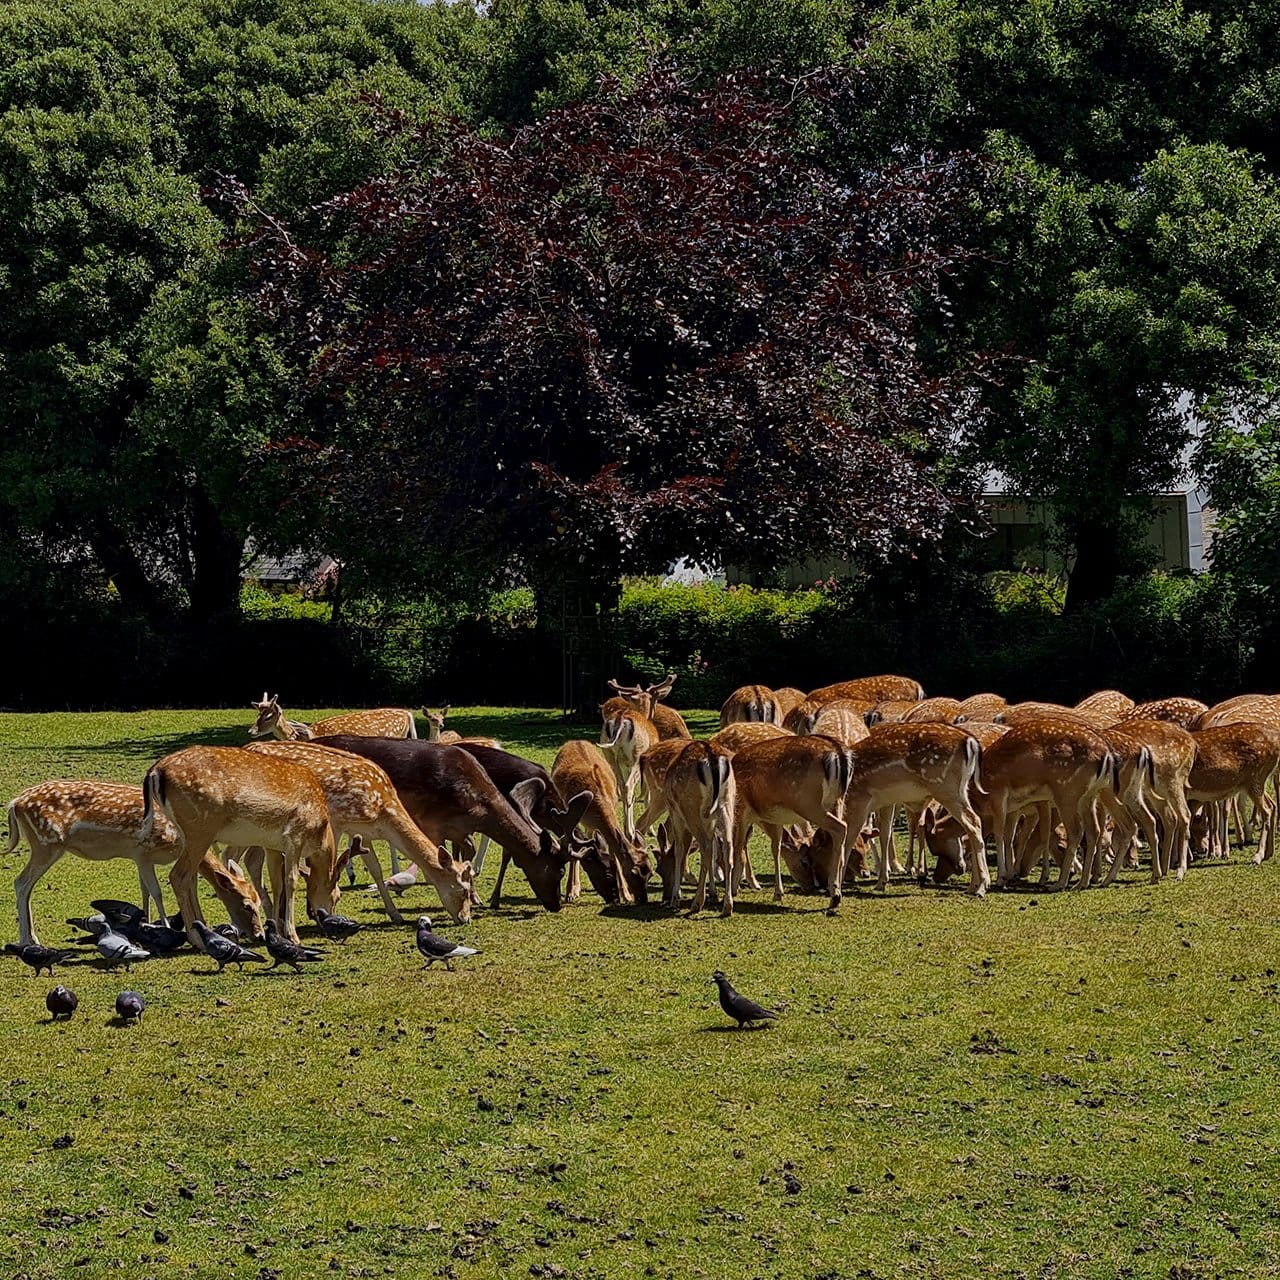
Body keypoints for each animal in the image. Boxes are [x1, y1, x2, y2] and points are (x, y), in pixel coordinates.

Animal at [8, 780, 263, 946]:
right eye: (246, 905)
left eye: (258, 902)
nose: (259, 935)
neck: (178, 839)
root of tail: (14, 803)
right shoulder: (143, 852)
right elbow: (157, 891)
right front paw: (165, 928)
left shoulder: (138, 858)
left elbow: (145, 891)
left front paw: (146, 924)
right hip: (47, 844)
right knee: (21, 883)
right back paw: (27, 940)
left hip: (44, 845)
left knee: (25, 886)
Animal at [142, 746, 339, 947]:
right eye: (336, 896)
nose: (328, 922)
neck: (321, 832)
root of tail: (155, 771)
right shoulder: (295, 837)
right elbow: (290, 881)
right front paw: (293, 936)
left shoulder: (273, 846)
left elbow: (276, 883)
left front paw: (279, 933)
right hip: (200, 829)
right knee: (179, 876)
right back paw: (198, 940)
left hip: (184, 832)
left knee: (191, 877)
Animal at [239, 740, 473, 925]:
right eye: (464, 890)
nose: (465, 918)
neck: (382, 810)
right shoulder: (337, 822)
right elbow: (326, 867)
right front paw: (316, 910)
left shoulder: (362, 831)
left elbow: (376, 868)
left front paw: (395, 914)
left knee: (251, 860)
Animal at [316, 735, 582, 912]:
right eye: (558, 870)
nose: (556, 905)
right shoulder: (431, 823)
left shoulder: (459, 828)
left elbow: (468, 852)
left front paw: (476, 898)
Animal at [550, 740, 649, 905]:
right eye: (633, 873)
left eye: (650, 872)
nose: (642, 899)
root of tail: (574, 741)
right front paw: (570, 892)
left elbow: (613, 852)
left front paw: (625, 895)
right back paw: (573, 890)